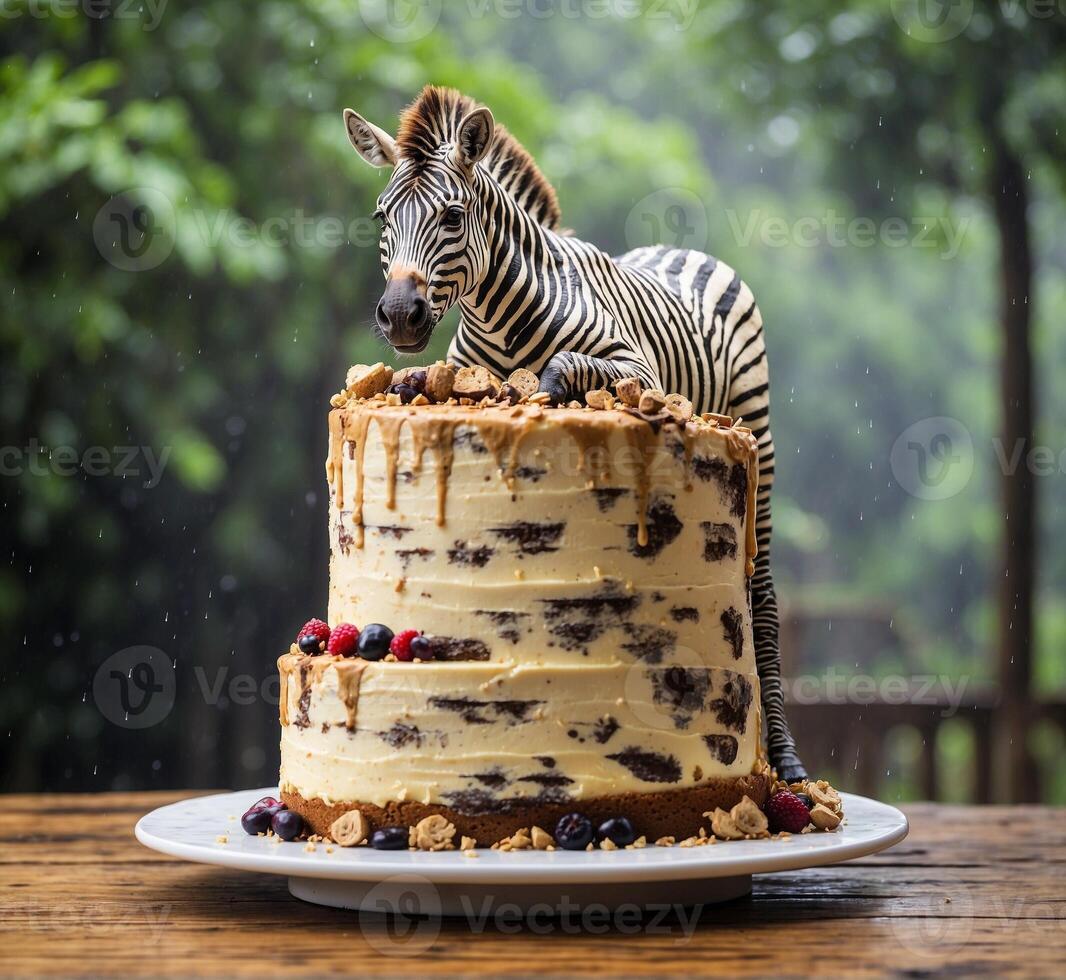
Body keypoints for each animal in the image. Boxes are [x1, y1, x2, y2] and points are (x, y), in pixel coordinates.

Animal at [345, 86, 801, 780]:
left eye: (453, 216)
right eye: (379, 219)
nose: (400, 316)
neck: (500, 315)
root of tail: (687, 251)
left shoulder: (635, 366)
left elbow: (565, 368)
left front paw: (549, 389)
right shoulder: (453, 367)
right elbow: (418, 379)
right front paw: (407, 381)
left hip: (760, 432)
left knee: (765, 594)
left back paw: (787, 761)